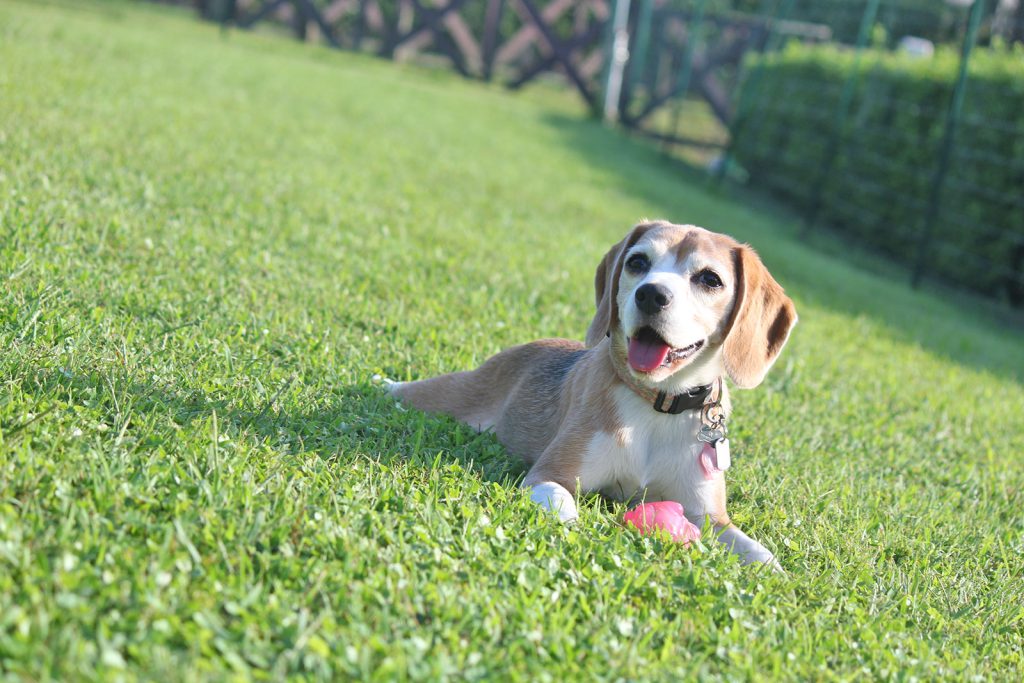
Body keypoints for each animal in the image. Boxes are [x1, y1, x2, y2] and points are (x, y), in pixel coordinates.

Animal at [387, 222, 794, 569]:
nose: (650, 294)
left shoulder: (709, 516)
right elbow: (563, 505)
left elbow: (759, 552)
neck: (657, 406)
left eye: (710, 279)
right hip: (449, 393)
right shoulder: (549, 475)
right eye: (637, 262)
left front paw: (776, 574)